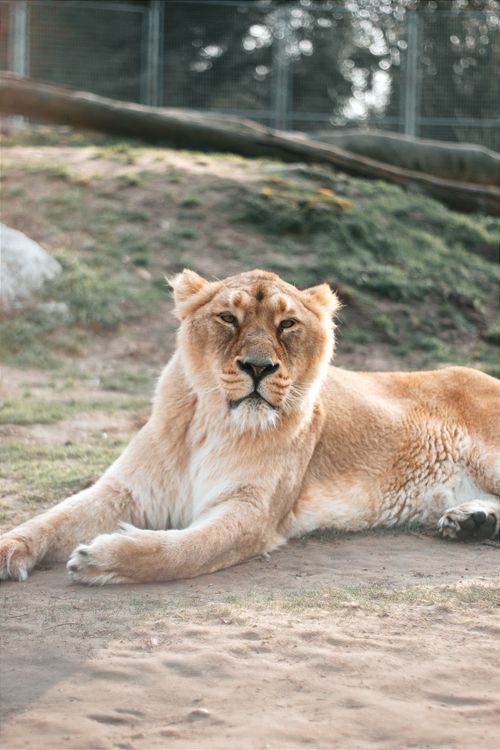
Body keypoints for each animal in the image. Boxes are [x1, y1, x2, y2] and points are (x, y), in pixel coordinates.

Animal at [1, 269, 499, 584]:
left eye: (287, 323)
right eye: (228, 317)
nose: (258, 366)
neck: (210, 425)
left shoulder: (251, 511)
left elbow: (183, 551)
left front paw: (103, 558)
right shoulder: (125, 490)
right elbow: (51, 518)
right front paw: (8, 549)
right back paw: (470, 521)